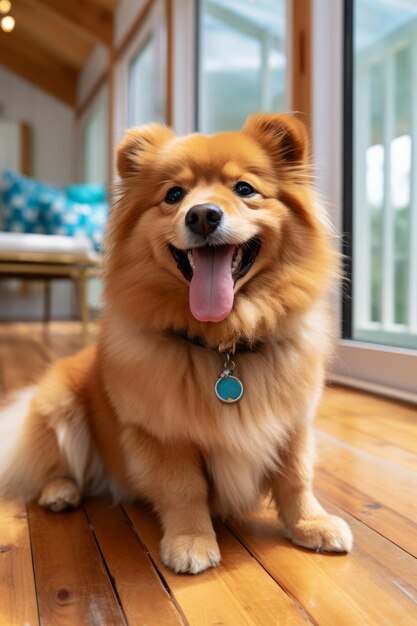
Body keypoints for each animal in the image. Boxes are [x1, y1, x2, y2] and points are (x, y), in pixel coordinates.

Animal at [0, 112, 352, 572]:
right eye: (174, 194)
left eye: (244, 189)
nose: (202, 215)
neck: (223, 346)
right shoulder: (164, 436)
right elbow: (184, 489)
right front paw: (191, 541)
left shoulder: (293, 423)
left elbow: (296, 479)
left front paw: (311, 524)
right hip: (59, 406)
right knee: (58, 465)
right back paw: (61, 491)